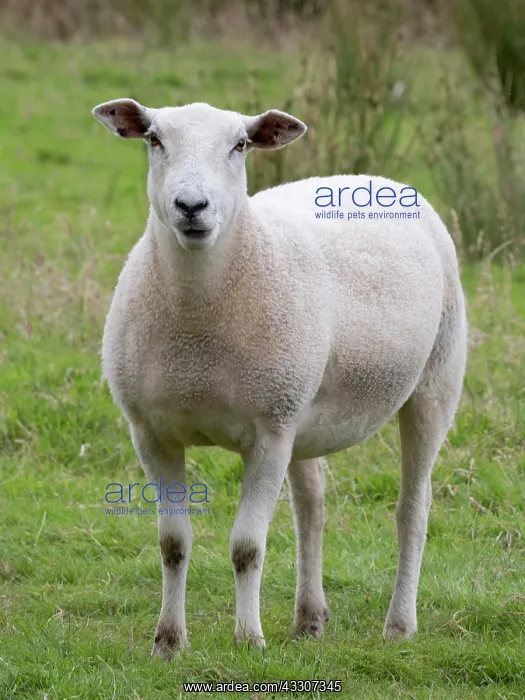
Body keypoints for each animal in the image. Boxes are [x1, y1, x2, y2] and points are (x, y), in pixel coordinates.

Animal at [92, 99, 467, 660]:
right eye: (154, 139)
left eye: (240, 145)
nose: (191, 206)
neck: (195, 333)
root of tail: (380, 179)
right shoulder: (151, 433)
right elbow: (173, 544)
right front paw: (169, 642)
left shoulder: (268, 433)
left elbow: (247, 548)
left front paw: (248, 639)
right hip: (301, 407)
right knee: (311, 507)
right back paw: (310, 617)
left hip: (433, 382)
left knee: (412, 511)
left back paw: (399, 624)